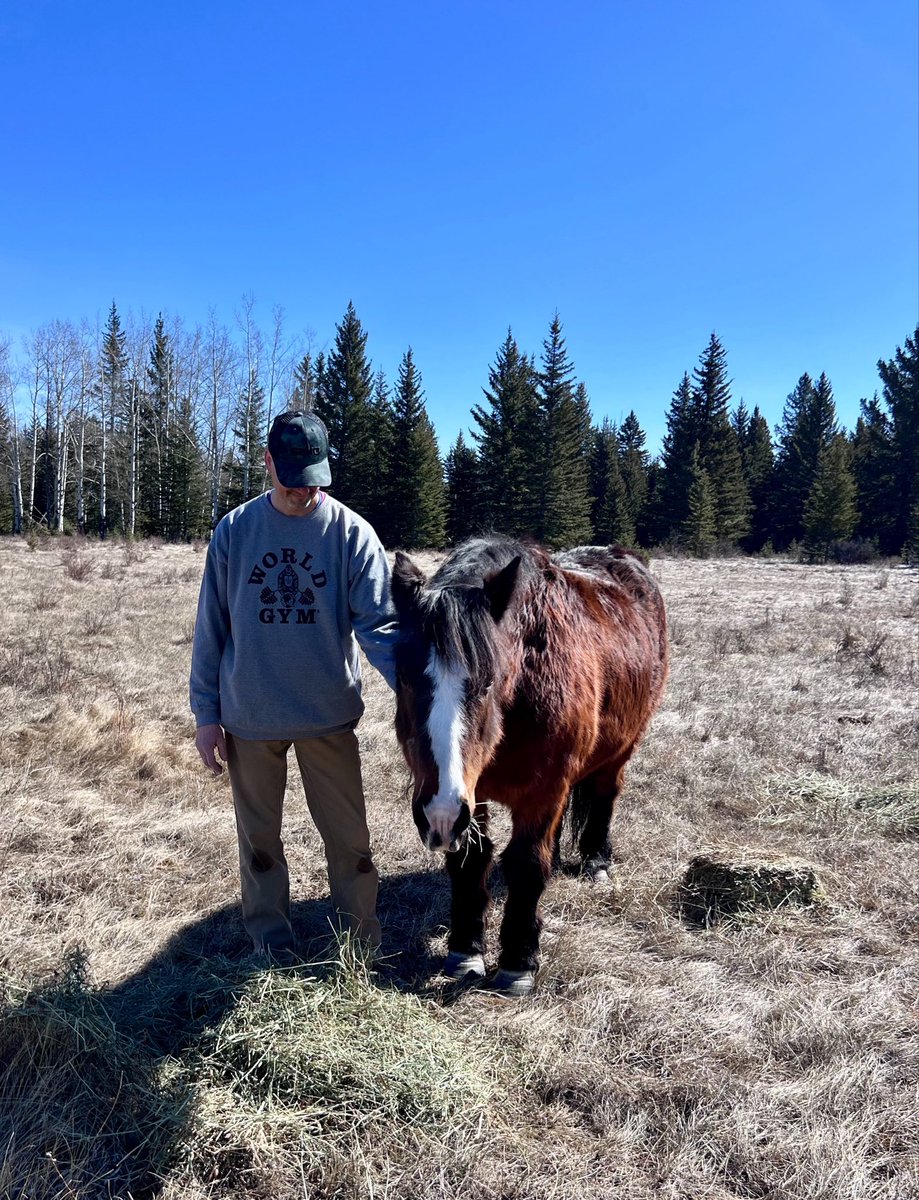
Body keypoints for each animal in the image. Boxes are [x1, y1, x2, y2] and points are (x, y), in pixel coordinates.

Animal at [391, 535, 669, 996]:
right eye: (405, 679)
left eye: (487, 682)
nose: (440, 813)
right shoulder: (473, 795)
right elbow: (474, 859)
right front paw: (465, 952)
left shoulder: (543, 790)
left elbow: (526, 864)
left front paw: (518, 962)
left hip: (621, 748)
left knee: (605, 794)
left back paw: (596, 862)